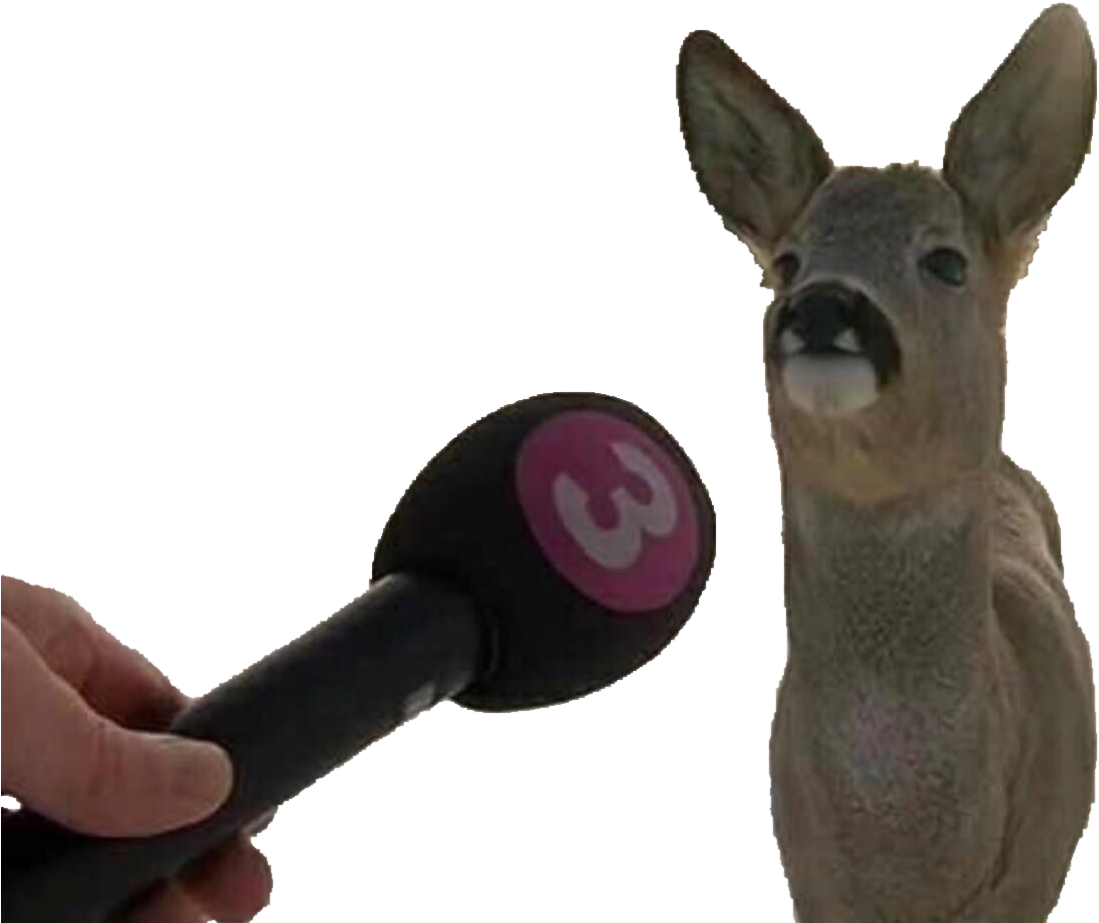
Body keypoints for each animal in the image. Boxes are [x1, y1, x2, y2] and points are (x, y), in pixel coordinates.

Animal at [676, 5, 1096, 921]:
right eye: (786, 262)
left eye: (944, 260)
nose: (820, 306)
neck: (911, 875)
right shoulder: (809, 883)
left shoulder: (1032, 882)